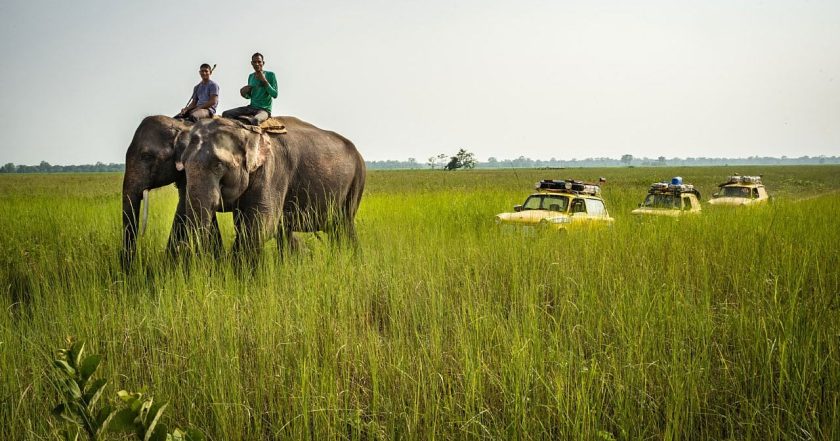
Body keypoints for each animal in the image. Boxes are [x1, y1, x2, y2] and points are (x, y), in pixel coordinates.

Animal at [180, 116, 364, 258]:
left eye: (218, 165)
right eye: (183, 165)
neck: (245, 129)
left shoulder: (273, 170)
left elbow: (260, 228)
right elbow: (248, 225)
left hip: (357, 180)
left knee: (344, 225)